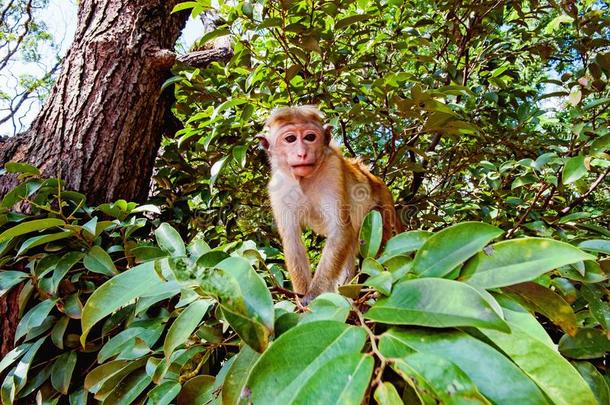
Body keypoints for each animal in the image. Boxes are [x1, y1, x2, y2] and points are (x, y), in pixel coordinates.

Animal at [256, 105, 400, 302]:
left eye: (310, 137)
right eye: (290, 139)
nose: (302, 153)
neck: (304, 180)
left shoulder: (332, 172)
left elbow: (340, 230)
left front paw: (313, 296)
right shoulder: (277, 188)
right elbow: (292, 239)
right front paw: (301, 297)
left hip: (382, 208)